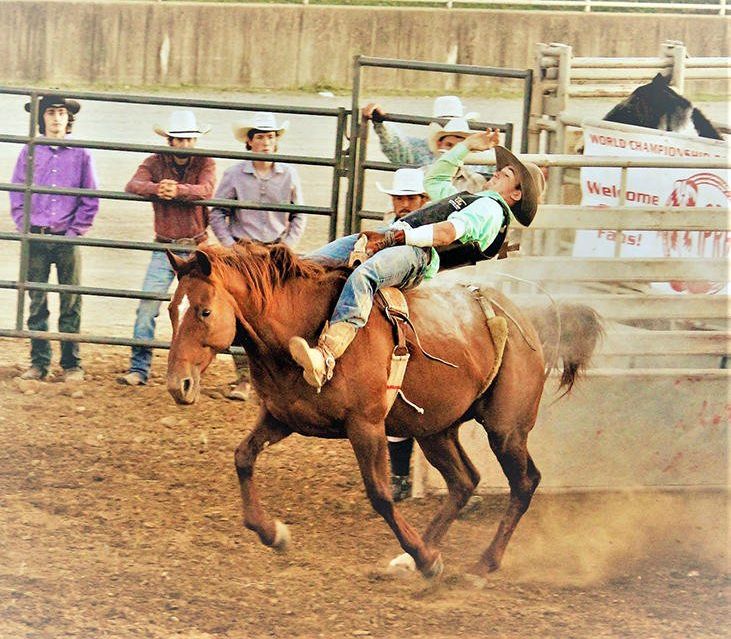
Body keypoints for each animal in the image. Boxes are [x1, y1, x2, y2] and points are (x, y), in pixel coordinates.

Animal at [167, 241, 608, 580]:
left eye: (204, 311)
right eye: (172, 310)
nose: (178, 384)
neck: (303, 328)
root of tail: (527, 320)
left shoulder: (366, 425)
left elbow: (380, 495)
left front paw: (430, 562)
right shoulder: (282, 417)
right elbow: (243, 457)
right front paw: (273, 533)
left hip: (507, 429)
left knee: (525, 483)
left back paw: (479, 565)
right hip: (435, 429)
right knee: (465, 480)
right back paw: (415, 557)